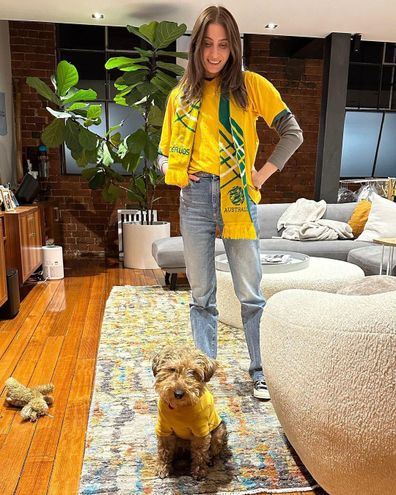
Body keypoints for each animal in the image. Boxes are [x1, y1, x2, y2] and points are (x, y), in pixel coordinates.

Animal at [152, 344, 227, 480]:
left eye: (193, 372)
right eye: (172, 369)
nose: (179, 393)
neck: (179, 408)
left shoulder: (201, 432)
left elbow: (200, 453)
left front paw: (199, 471)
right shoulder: (164, 429)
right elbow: (164, 451)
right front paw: (162, 467)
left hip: (219, 433)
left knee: (213, 451)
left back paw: (210, 460)